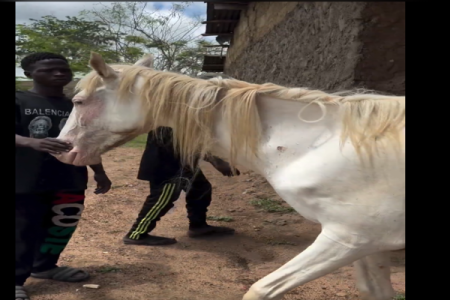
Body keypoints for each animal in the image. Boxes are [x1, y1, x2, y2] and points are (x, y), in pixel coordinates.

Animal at [54, 52, 406, 298]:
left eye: (79, 101)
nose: (62, 149)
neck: (321, 143)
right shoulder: (368, 244)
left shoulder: (348, 239)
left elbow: (260, 289)